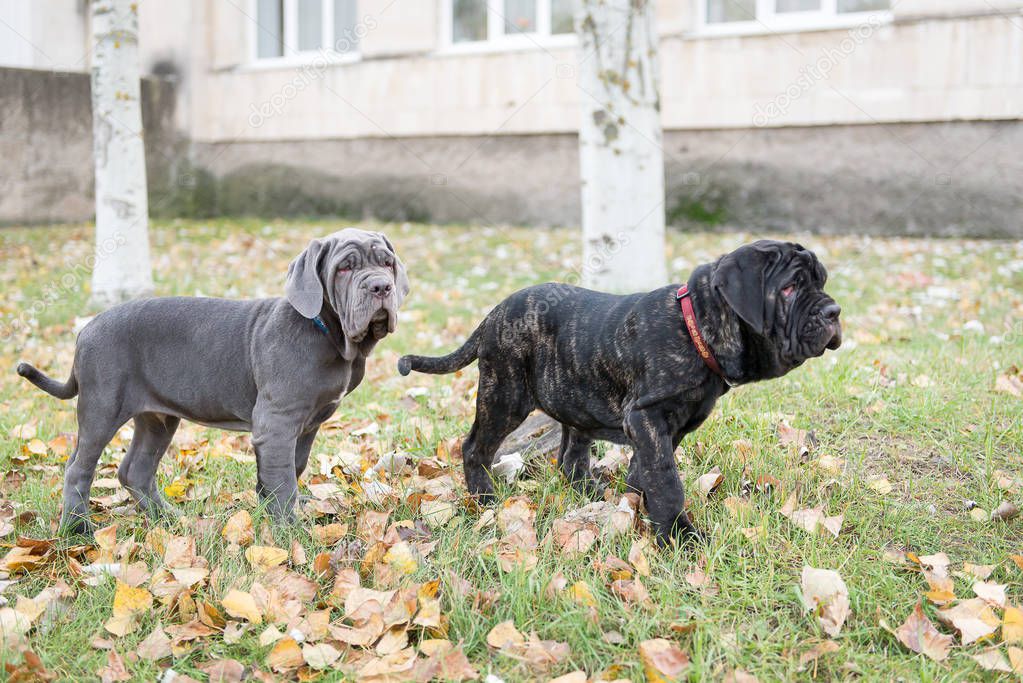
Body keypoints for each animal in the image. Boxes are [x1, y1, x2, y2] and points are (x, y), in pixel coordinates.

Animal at [15, 229, 407, 539]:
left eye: (387, 263)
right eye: (345, 268)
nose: (380, 286)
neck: (328, 332)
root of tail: (85, 330)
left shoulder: (306, 425)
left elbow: (287, 470)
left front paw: (269, 514)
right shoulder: (277, 423)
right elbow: (283, 480)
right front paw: (290, 535)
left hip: (158, 418)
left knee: (135, 470)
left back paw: (167, 519)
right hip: (102, 407)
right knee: (78, 468)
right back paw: (78, 531)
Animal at [398, 240, 838, 543]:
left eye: (821, 282)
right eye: (790, 288)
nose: (833, 312)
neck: (696, 325)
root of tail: (493, 314)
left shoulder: (665, 426)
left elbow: (647, 469)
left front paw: (636, 505)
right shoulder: (646, 415)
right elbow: (666, 478)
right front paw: (679, 536)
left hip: (574, 397)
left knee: (570, 455)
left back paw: (589, 491)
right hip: (504, 394)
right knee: (476, 447)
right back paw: (485, 502)